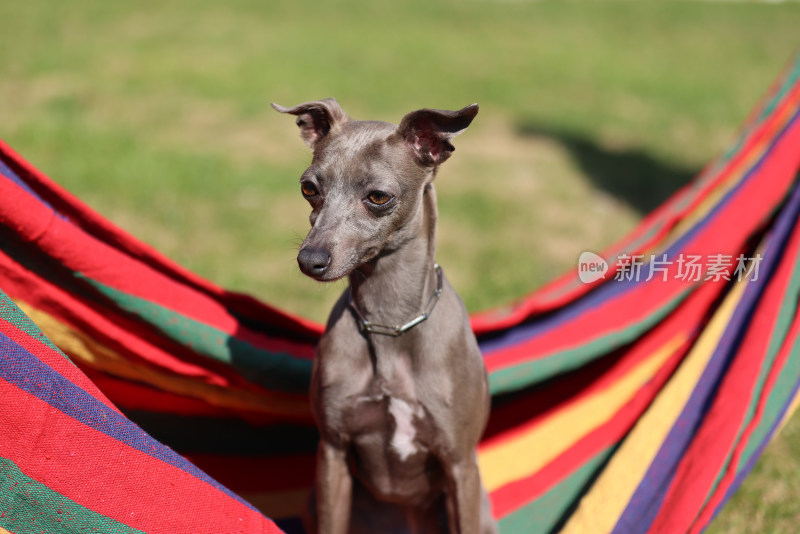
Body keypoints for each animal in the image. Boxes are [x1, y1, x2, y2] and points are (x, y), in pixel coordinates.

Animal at [276, 97, 496, 534]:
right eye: (309, 188)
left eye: (378, 196)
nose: (310, 260)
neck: (389, 324)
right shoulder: (333, 451)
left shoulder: (460, 465)